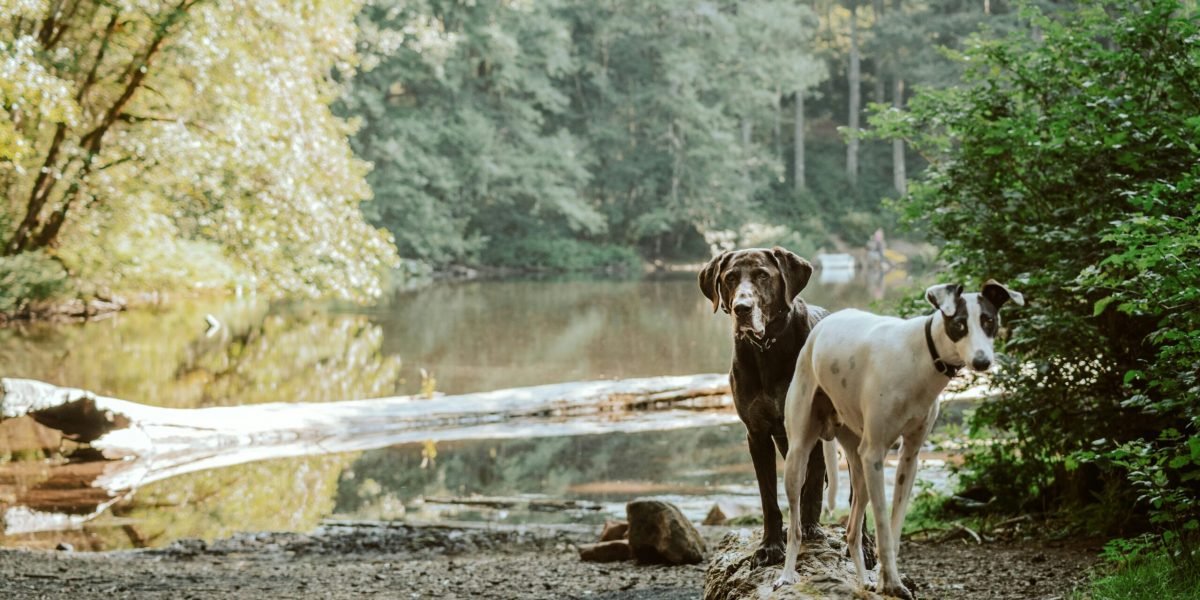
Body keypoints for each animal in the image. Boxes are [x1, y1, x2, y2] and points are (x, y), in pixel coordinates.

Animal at [700, 246, 830, 564]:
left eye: (762, 275)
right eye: (730, 277)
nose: (741, 308)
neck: (768, 348)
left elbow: (812, 483)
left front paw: (808, 528)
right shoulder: (757, 434)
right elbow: (768, 497)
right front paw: (770, 545)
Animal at [777, 282, 1022, 600]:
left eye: (989, 321)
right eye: (959, 324)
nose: (982, 361)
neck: (920, 358)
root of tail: (820, 327)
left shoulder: (909, 456)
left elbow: (894, 529)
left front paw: (885, 581)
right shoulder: (876, 455)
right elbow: (882, 526)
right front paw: (891, 582)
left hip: (859, 469)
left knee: (852, 531)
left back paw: (863, 580)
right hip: (799, 457)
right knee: (794, 526)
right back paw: (786, 575)